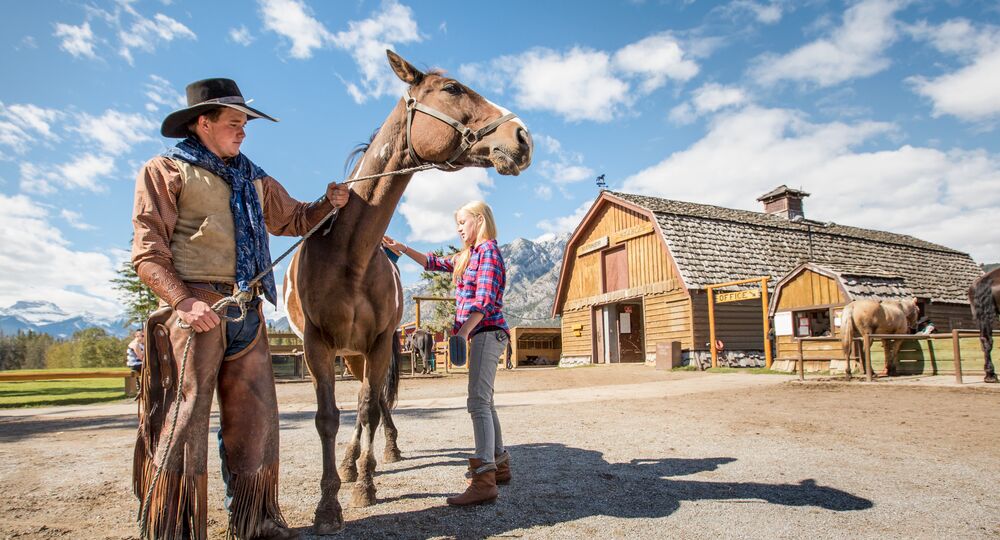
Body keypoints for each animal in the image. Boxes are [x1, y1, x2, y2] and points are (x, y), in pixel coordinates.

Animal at [282, 49, 532, 532]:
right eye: (452, 88)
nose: (522, 136)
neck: (350, 254)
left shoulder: (380, 342)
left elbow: (368, 409)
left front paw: (364, 485)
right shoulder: (318, 345)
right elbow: (327, 418)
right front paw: (329, 504)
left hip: (365, 353)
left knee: (375, 403)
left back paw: (374, 455)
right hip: (349, 354)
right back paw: (350, 461)